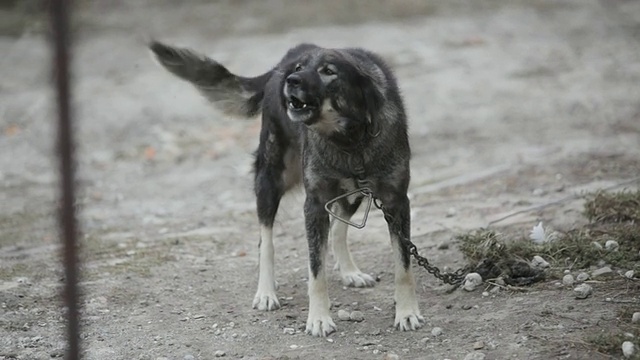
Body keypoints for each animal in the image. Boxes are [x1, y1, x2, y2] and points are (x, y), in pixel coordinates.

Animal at [148, 40, 422, 336]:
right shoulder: (314, 205)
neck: (349, 140)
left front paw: (407, 312)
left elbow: (403, 266)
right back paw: (266, 292)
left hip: (355, 194)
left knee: (338, 228)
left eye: (329, 71)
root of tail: (292, 52)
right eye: (301, 68)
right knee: (265, 241)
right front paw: (319, 318)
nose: (292, 80)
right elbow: (316, 270)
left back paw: (350, 271)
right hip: (270, 181)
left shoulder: (395, 201)